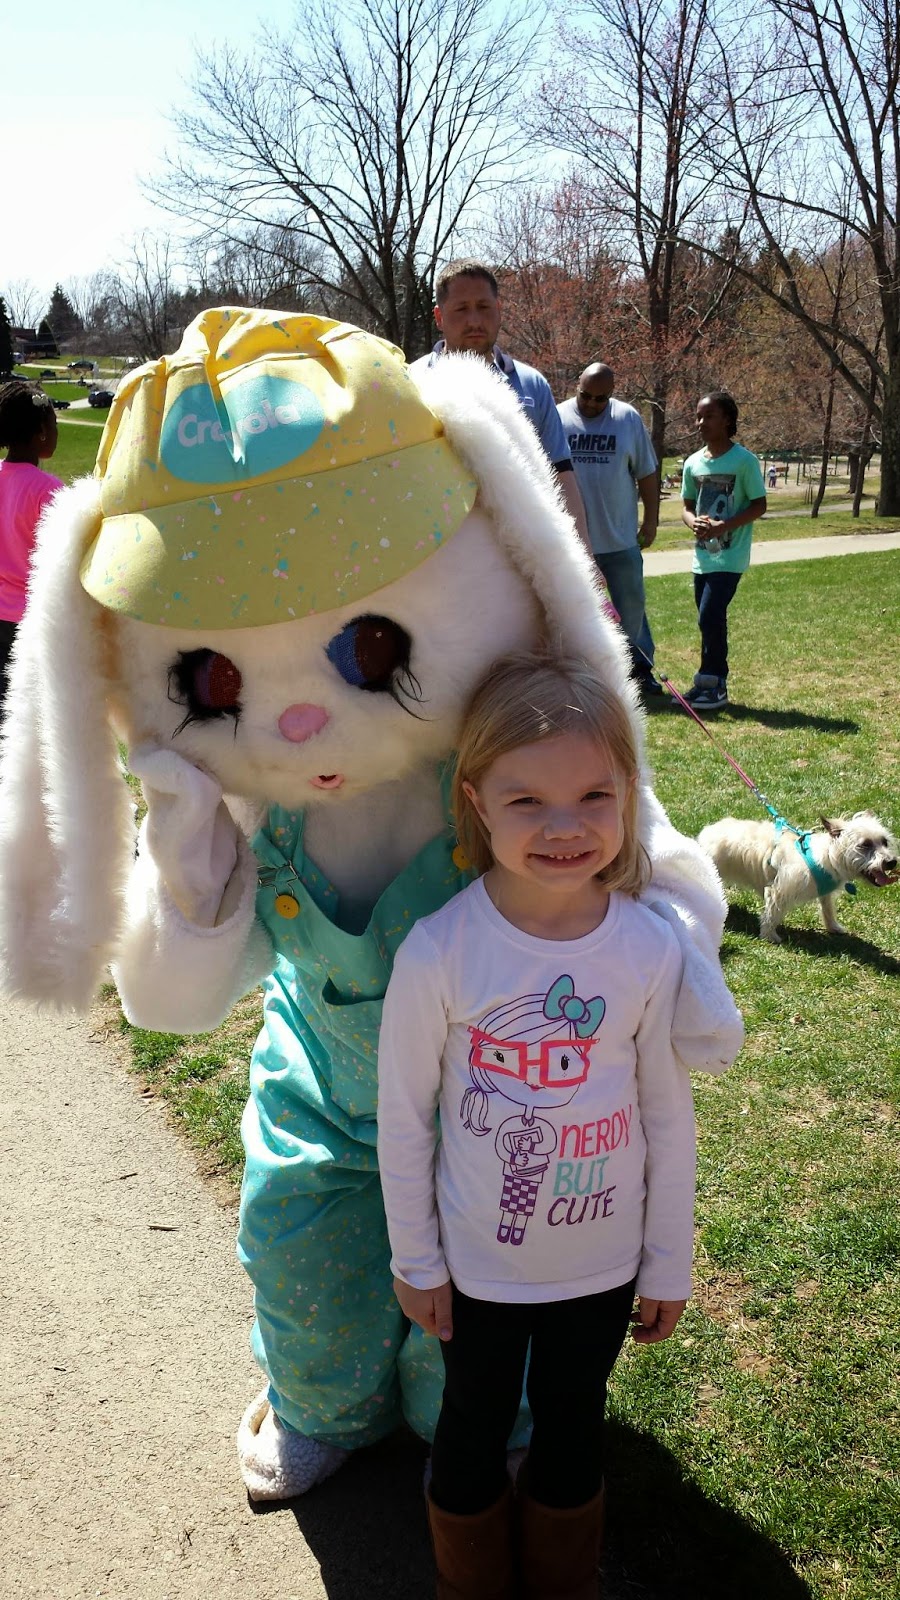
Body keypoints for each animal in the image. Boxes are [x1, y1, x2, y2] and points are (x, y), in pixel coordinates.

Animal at [698, 812, 890, 934]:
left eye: (885, 842)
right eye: (865, 844)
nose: (891, 862)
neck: (826, 856)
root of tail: (705, 834)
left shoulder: (825, 894)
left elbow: (827, 909)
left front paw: (833, 927)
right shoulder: (779, 891)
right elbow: (771, 915)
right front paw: (769, 936)